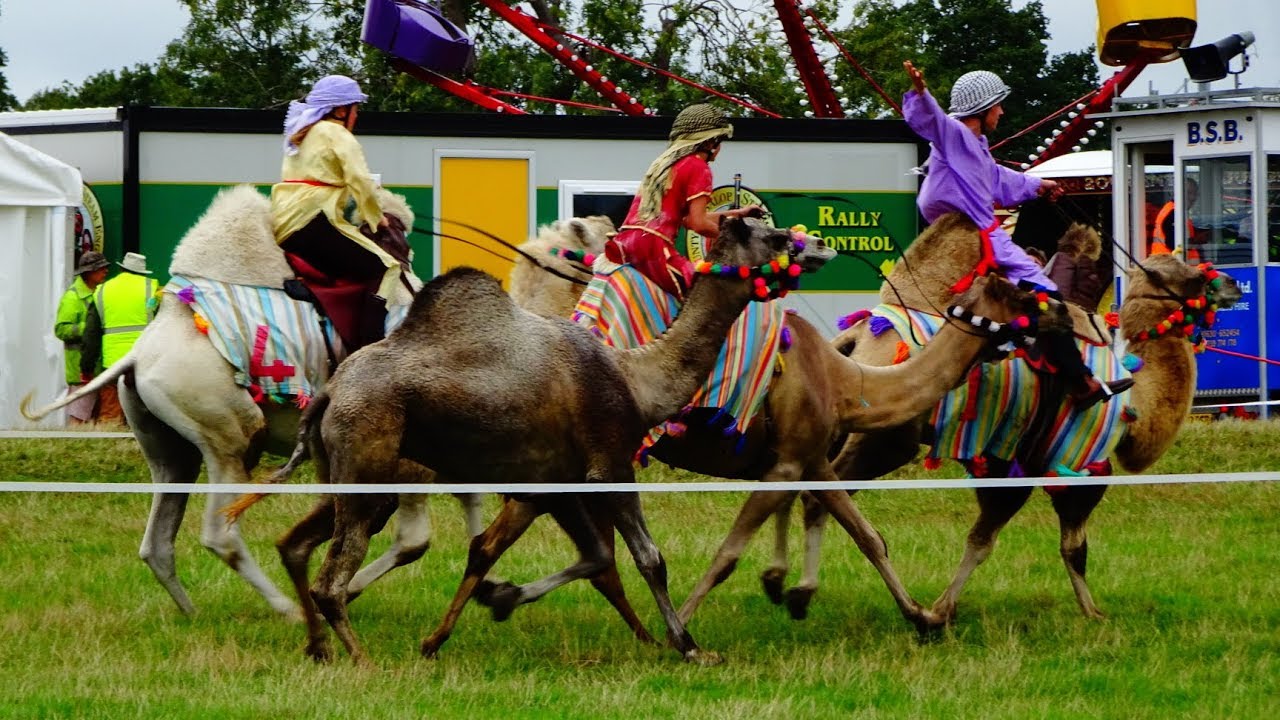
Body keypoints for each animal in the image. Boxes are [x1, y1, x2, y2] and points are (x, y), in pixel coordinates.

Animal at [20, 184, 614, 618]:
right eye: (592, 244)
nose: (619, 245)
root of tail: (138, 357)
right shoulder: (411, 466)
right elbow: (415, 540)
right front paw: (349, 592)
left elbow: (469, 521)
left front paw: (490, 588)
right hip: (229, 439)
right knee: (220, 533)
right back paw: (285, 609)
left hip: (169, 449)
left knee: (157, 541)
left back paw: (192, 613)